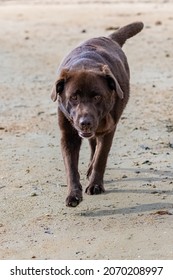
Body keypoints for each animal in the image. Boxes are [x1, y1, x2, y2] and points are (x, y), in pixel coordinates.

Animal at [51, 21, 143, 207]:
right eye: (74, 97)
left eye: (97, 96)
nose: (85, 122)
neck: (85, 64)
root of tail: (108, 37)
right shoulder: (68, 135)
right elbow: (71, 167)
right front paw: (73, 194)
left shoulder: (108, 130)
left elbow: (101, 157)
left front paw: (95, 185)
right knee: (93, 144)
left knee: (97, 148)